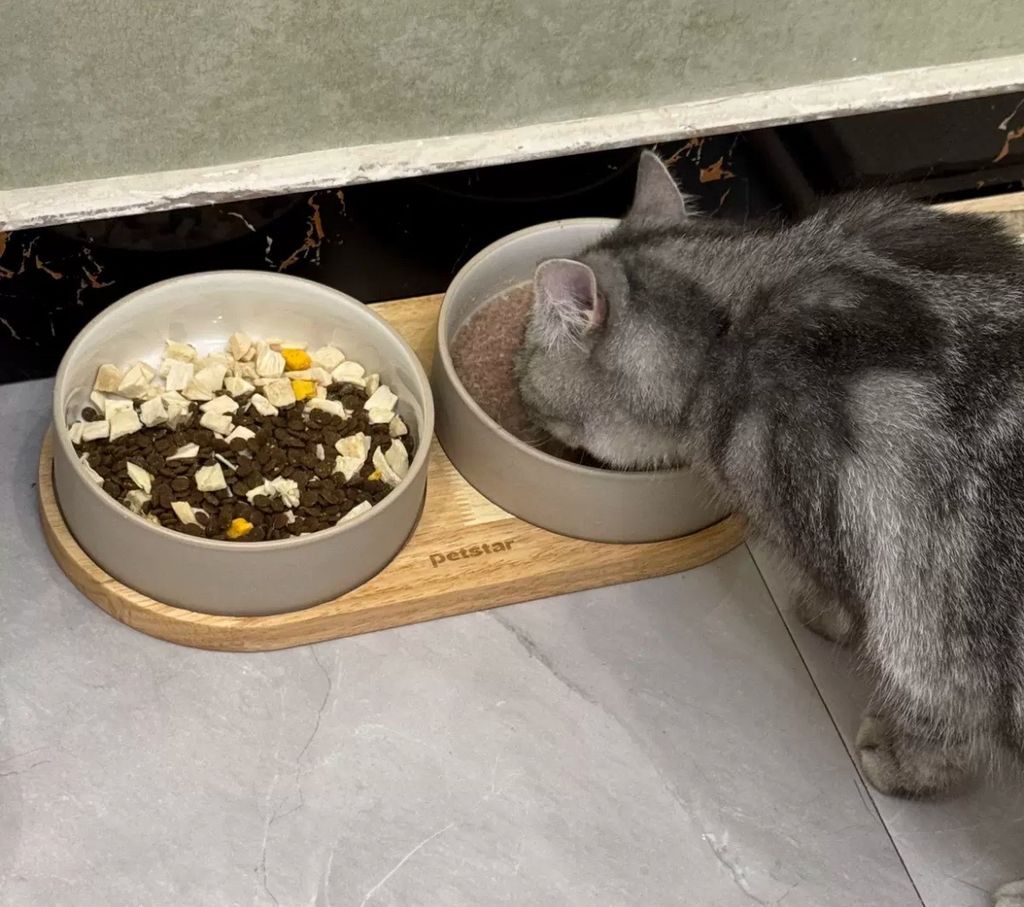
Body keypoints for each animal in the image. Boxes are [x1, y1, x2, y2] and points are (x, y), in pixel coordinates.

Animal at [516, 150, 1024, 905]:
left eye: (524, 364)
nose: (516, 392)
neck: (738, 314)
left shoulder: (921, 616)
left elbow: (918, 700)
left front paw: (885, 744)